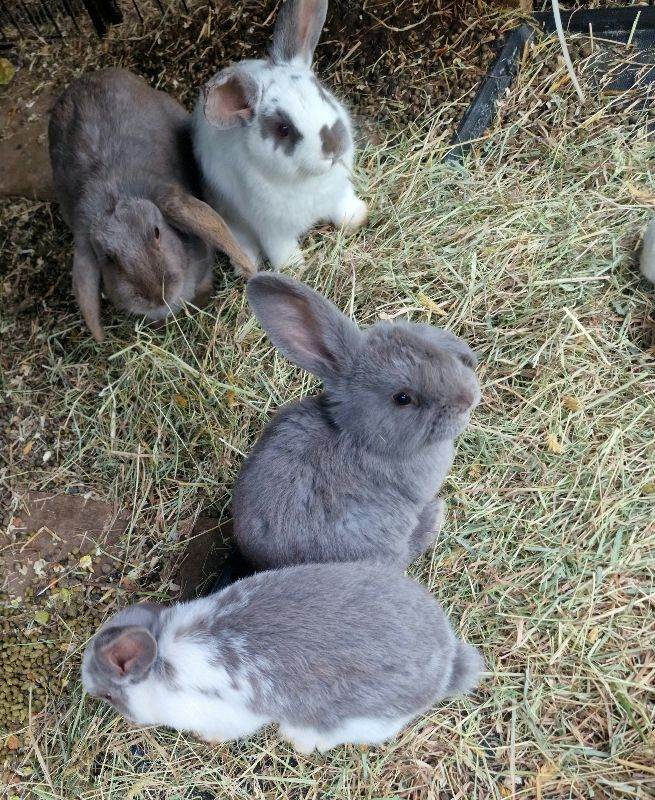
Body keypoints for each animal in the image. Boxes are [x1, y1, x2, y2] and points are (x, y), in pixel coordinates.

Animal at [192, 0, 368, 273]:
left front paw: (358, 217)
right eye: (284, 128)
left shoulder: (338, 193)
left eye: (321, 93)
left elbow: (343, 208)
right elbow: (281, 250)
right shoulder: (271, 229)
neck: (309, 181)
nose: (333, 145)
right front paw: (294, 267)